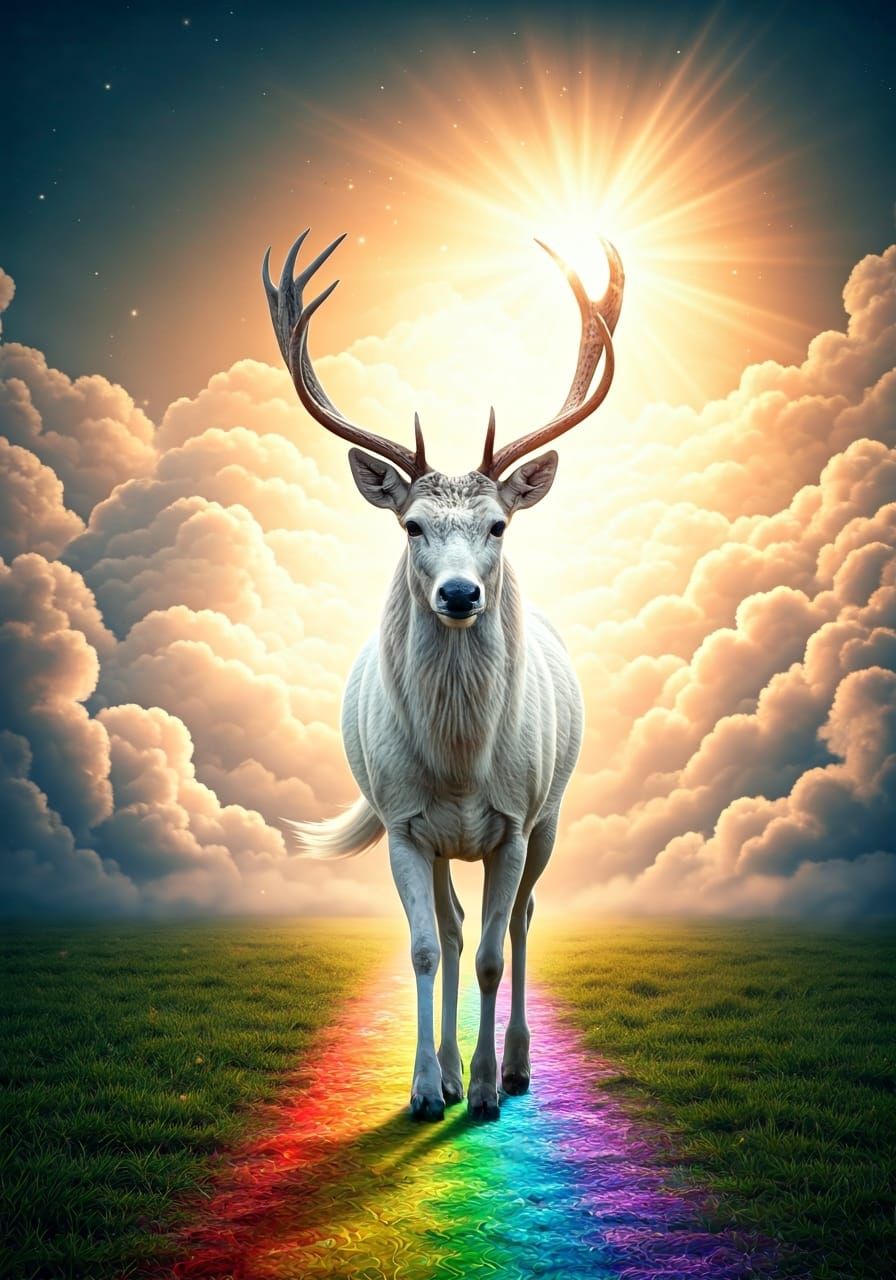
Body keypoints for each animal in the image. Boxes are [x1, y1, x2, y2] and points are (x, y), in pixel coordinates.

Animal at [262, 227, 623, 1121]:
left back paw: (514, 1068)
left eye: (499, 525)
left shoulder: (515, 819)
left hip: (551, 815)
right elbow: (428, 946)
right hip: (439, 841)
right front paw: (429, 1087)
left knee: (521, 921)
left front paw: (489, 1091)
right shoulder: (401, 821)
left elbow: (494, 951)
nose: (459, 593)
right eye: (412, 525)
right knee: (457, 925)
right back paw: (455, 1070)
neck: (461, 766)